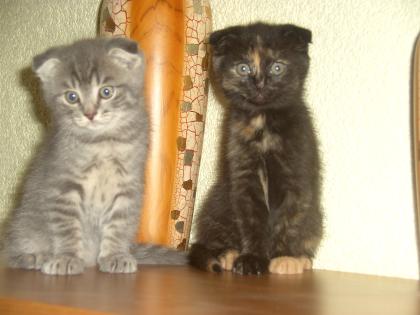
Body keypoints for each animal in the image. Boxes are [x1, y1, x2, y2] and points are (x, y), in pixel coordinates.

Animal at [2, 37, 185, 276]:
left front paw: (115, 255)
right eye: (71, 97)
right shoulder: (63, 187)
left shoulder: (127, 187)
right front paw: (67, 258)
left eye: (106, 92)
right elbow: (67, 228)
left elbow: (118, 225)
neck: (102, 142)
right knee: (12, 250)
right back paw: (32, 256)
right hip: (24, 224)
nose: (89, 114)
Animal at [189, 24, 324, 276]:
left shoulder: (297, 175)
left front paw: (283, 257)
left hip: (315, 218)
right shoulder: (244, 178)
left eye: (277, 67)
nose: (259, 84)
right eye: (243, 68)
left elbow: (289, 219)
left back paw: (301, 259)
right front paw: (252, 257)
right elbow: (252, 220)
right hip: (219, 200)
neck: (263, 121)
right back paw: (228, 254)